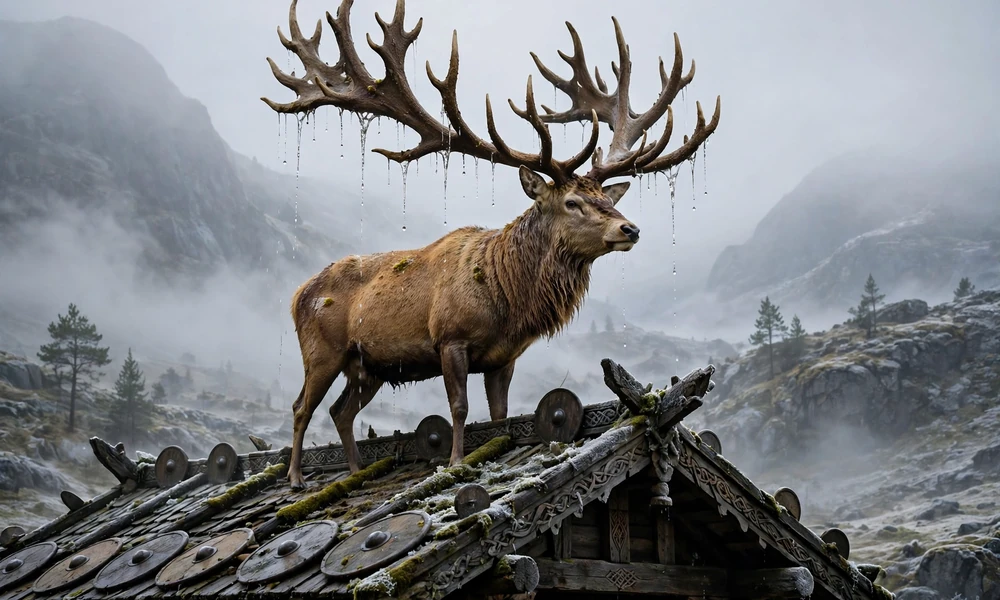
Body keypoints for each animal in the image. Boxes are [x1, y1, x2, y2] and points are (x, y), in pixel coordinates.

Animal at [263, 0, 720, 488]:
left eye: (606, 199)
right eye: (573, 202)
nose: (630, 229)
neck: (507, 300)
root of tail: (297, 294)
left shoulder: (504, 358)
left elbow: (499, 416)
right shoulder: (450, 338)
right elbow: (459, 408)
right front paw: (455, 463)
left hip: (368, 367)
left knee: (341, 411)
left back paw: (354, 471)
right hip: (321, 349)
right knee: (301, 406)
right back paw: (296, 477)